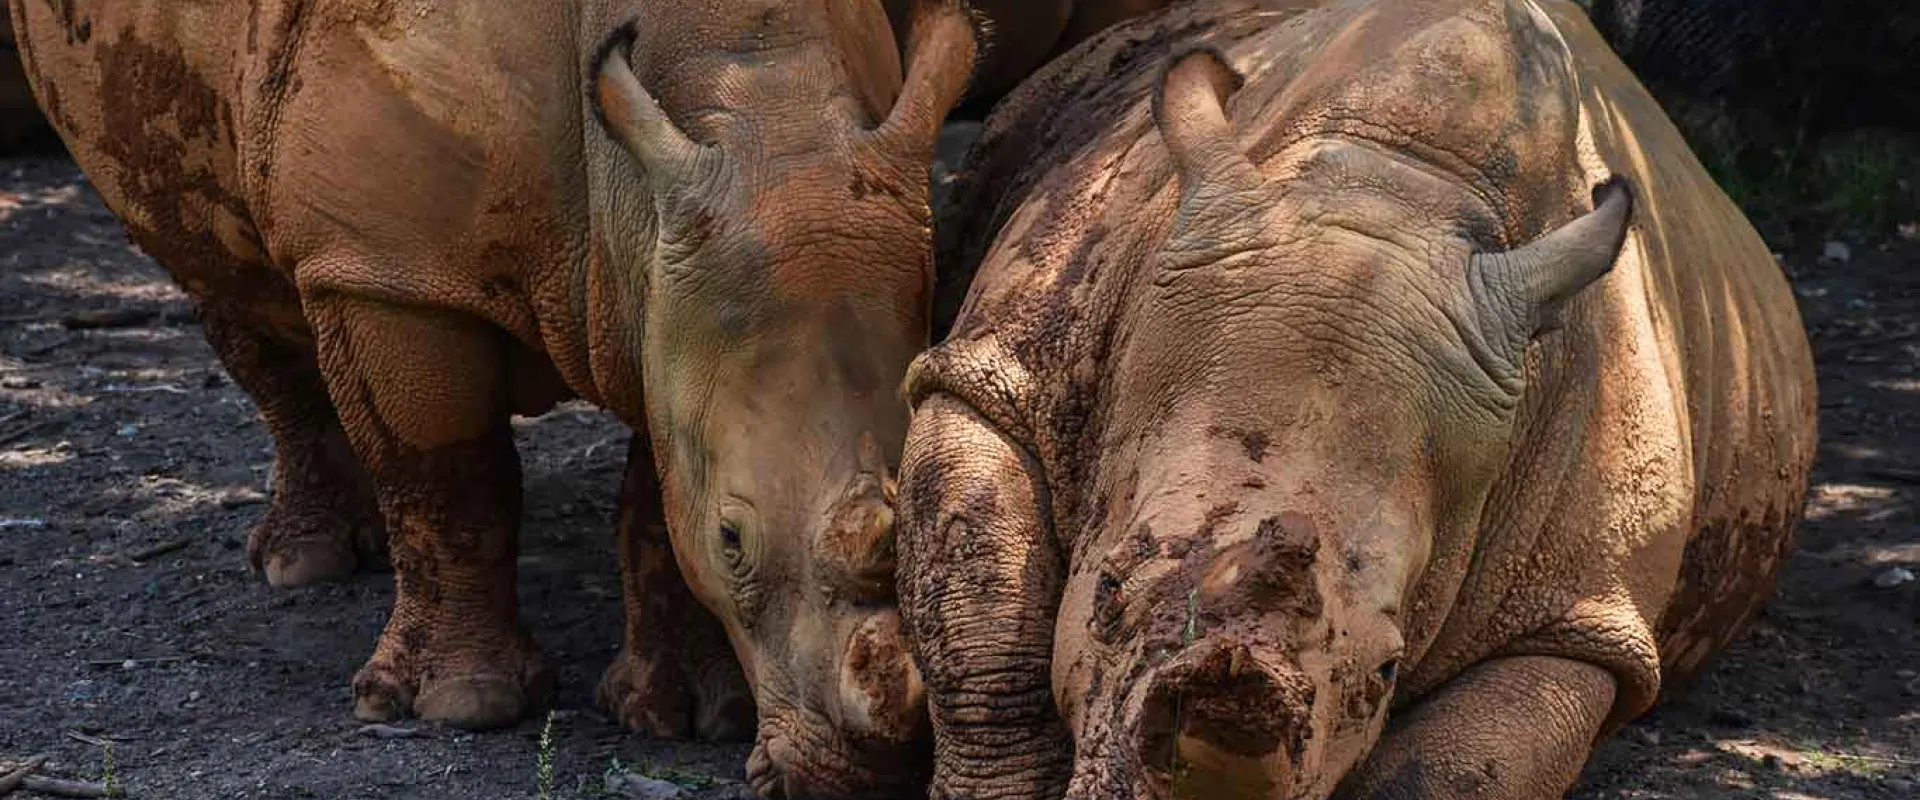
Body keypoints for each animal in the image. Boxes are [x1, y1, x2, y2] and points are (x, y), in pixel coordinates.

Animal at [11, 0, 976, 794]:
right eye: (733, 540)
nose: (875, 770)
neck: (760, 103)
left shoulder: (662, 294)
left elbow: (657, 492)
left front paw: (689, 715)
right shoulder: (388, 272)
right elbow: (448, 476)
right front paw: (459, 706)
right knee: (226, 275)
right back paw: (305, 563)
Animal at [898, 0, 1819, 798]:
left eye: (1386, 671)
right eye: (1110, 591)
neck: (1394, 185)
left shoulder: (1579, 615)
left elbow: (1457, 769)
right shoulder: (1000, 373)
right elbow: (979, 620)